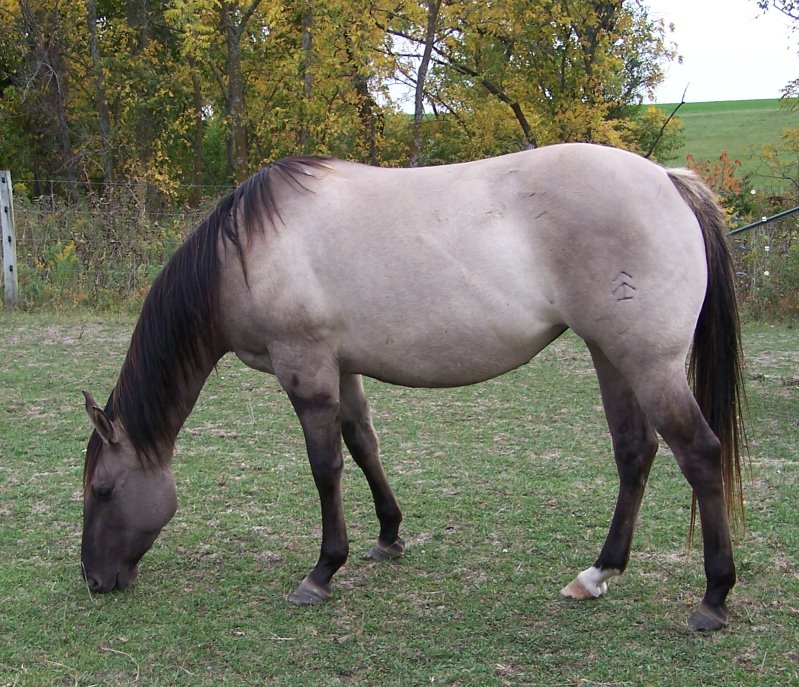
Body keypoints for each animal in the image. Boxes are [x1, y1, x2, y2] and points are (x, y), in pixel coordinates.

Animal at [78, 142, 748, 632]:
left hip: (649, 364)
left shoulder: (306, 371)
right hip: (613, 357)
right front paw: (388, 536)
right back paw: (597, 574)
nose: (94, 580)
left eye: (104, 490)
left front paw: (322, 572)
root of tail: (666, 179)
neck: (245, 252)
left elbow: (325, 466)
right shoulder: (342, 369)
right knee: (635, 454)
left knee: (699, 454)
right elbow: (362, 445)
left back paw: (713, 598)